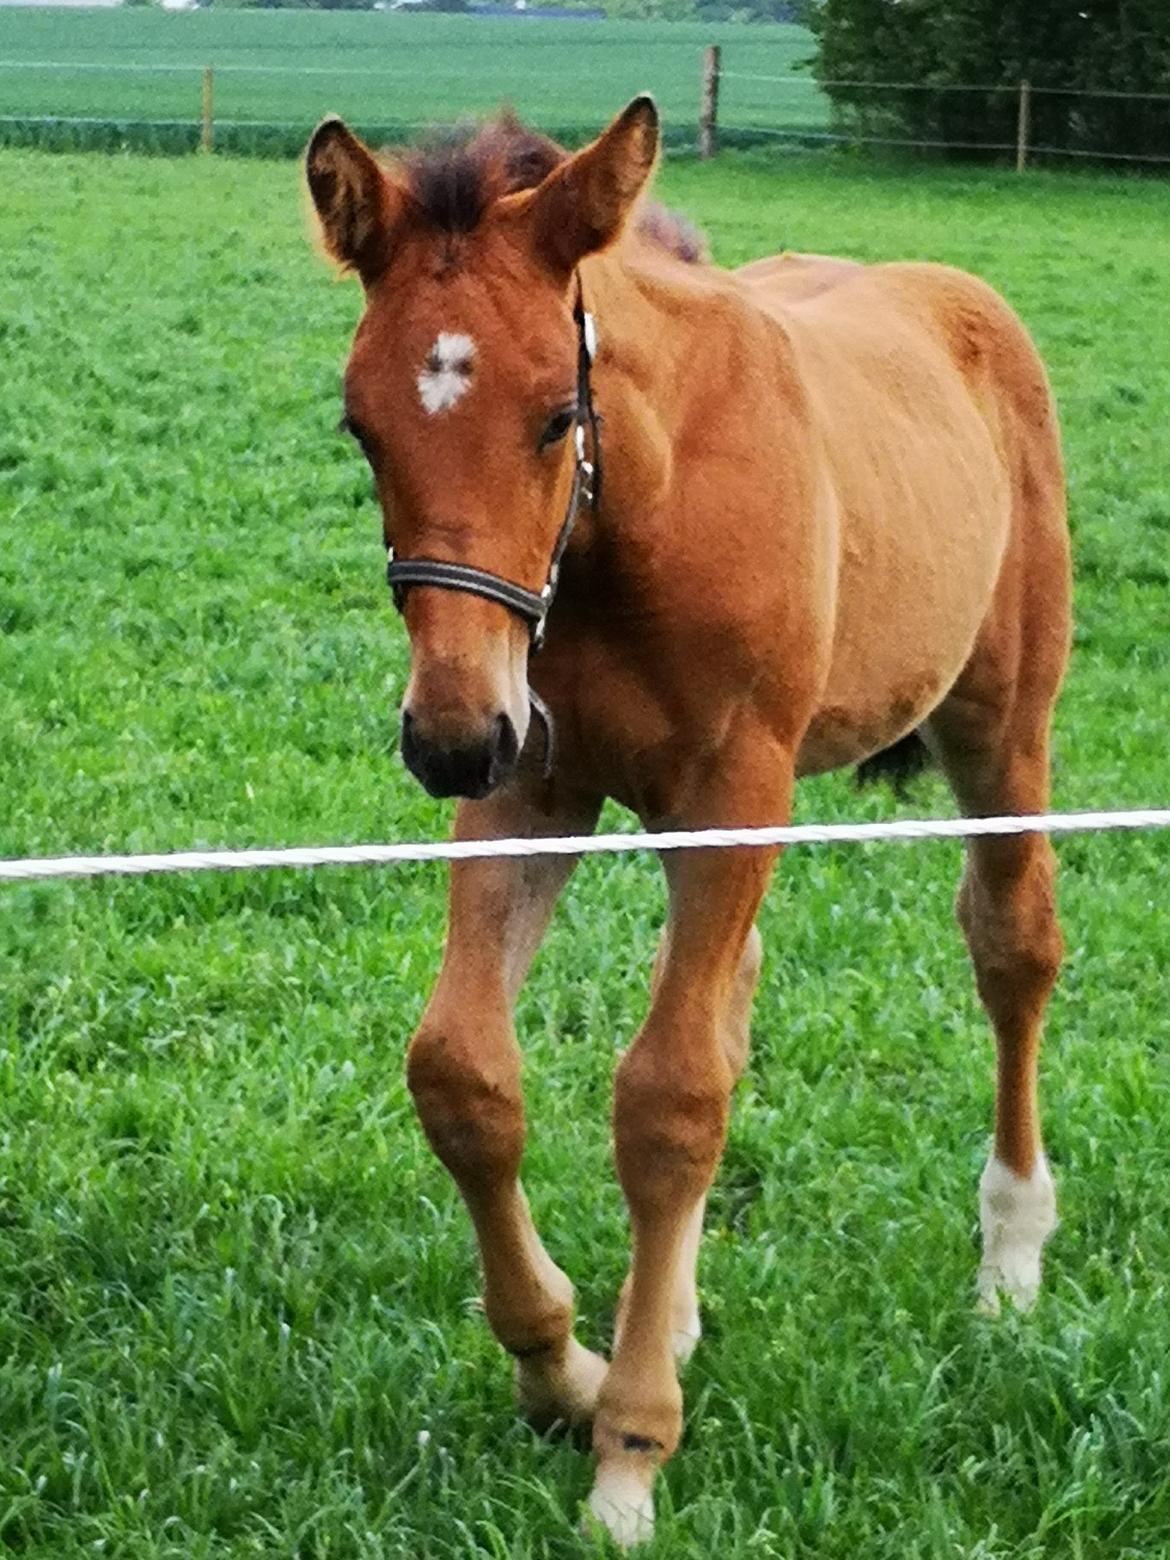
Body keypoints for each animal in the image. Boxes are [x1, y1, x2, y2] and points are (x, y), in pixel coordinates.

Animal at [307, 100, 1079, 1547]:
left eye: (557, 415)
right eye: (358, 425)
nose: (442, 741)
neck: (639, 519)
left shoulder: (735, 794)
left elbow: (668, 1099)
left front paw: (627, 1460)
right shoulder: (532, 788)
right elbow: (463, 1071)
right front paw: (563, 1364)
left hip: (1001, 726)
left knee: (1011, 943)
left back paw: (1009, 1258)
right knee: (733, 999)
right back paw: (665, 1313)